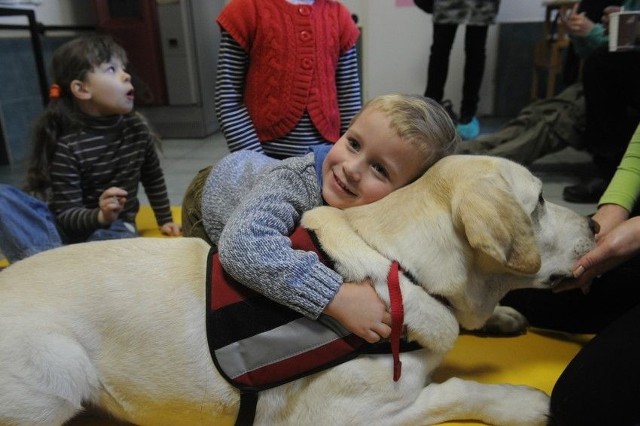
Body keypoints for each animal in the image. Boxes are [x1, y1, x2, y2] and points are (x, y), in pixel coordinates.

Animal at [0, 156, 596, 426]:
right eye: (541, 201)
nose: (595, 223)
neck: (400, 264)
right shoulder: (343, 416)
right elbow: (454, 390)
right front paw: (521, 401)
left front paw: (503, 317)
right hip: (57, 379)